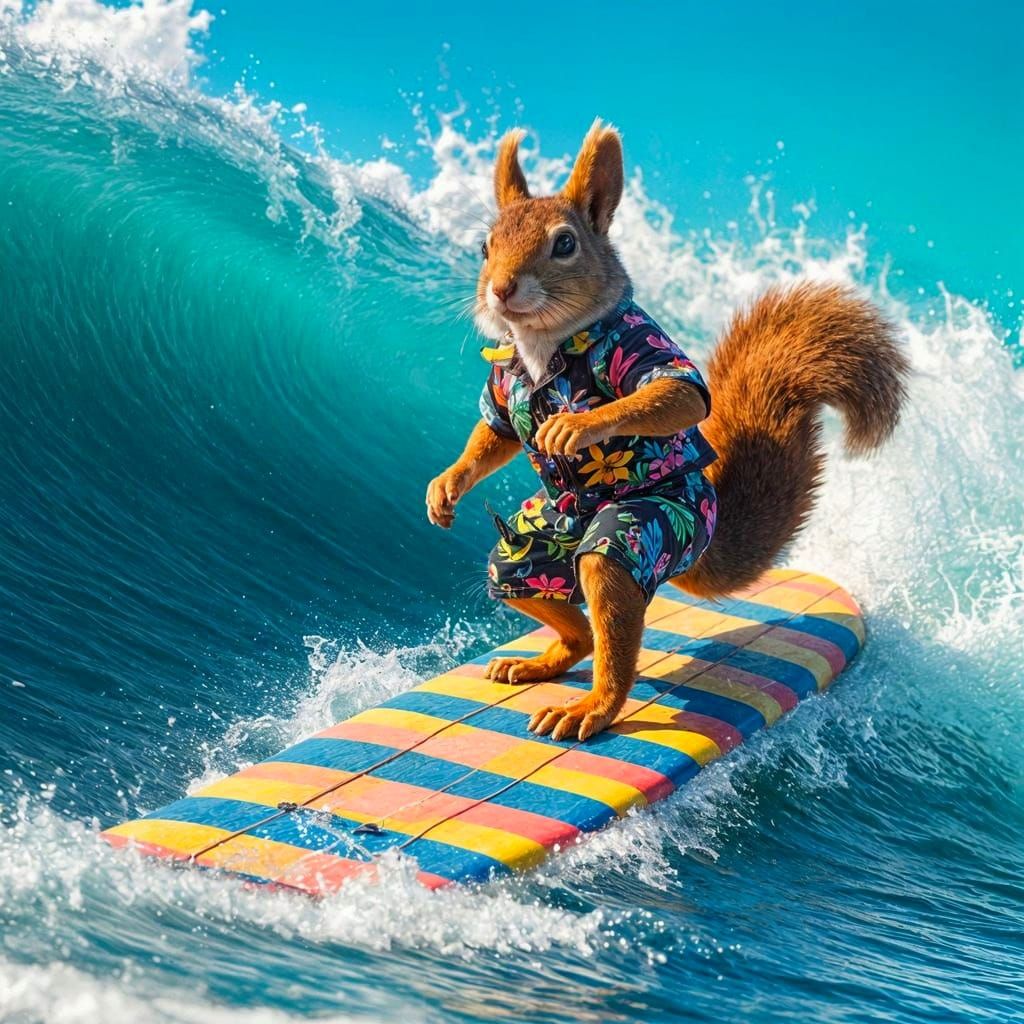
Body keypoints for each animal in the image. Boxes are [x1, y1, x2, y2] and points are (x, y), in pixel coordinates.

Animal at [426, 120, 909, 742]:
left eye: (565, 244)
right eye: (485, 247)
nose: (501, 289)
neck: (541, 345)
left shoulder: (638, 340)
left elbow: (676, 392)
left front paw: (577, 424)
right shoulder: (502, 390)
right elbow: (497, 434)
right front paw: (447, 485)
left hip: (651, 530)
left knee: (604, 578)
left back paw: (592, 708)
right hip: (533, 544)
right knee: (519, 580)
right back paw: (547, 659)